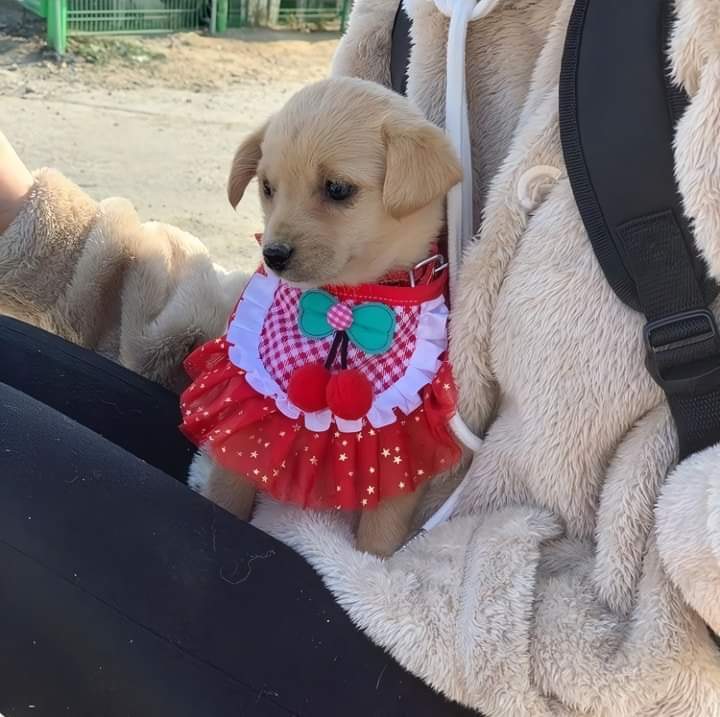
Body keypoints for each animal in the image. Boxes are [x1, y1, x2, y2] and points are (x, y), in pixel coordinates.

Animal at [183, 79, 458, 560]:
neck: (344, 304)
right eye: (267, 187)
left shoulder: (403, 435)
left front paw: (372, 564)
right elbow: (230, 484)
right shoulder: (245, 407)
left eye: (337, 188)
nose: (272, 255)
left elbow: (383, 525)